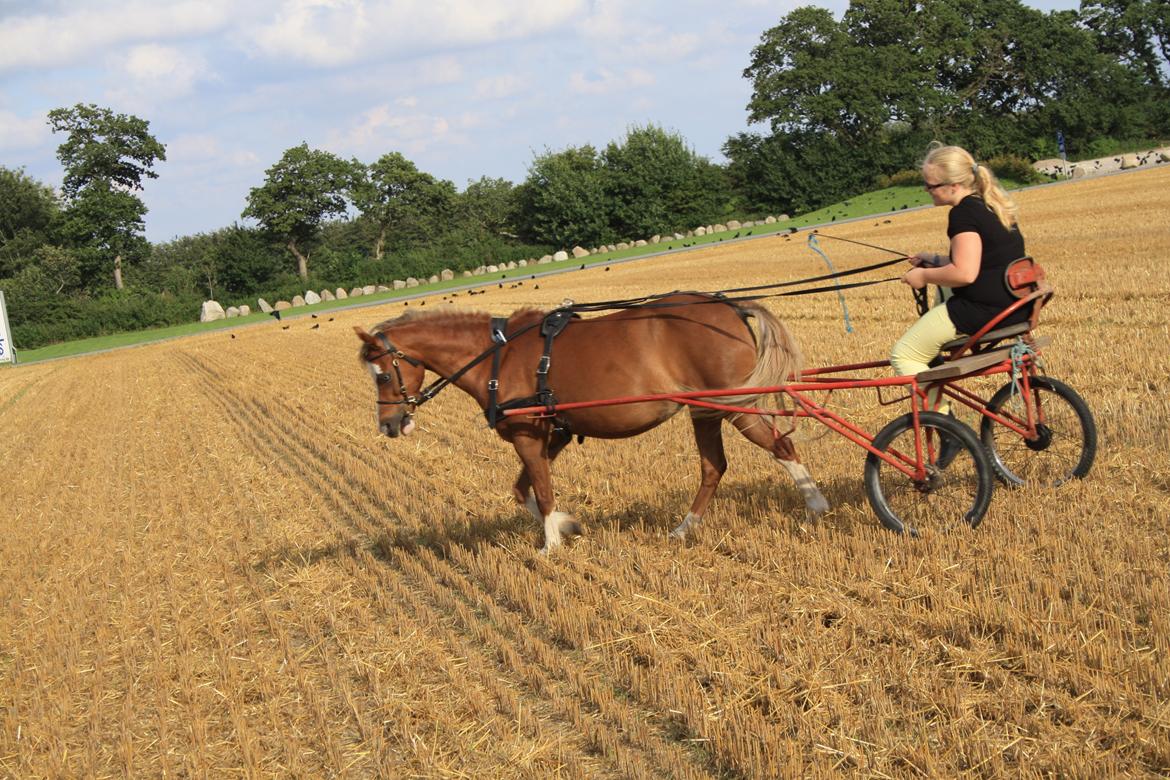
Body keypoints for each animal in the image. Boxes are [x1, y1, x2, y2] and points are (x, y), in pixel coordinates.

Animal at [351, 294, 828, 554]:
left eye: (382, 374)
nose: (389, 425)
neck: (497, 357)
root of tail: (730, 307)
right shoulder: (551, 434)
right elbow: (522, 490)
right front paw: (569, 525)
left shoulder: (527, 434)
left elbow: (541, 492)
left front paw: (550, 544)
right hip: (704, 410)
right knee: (713, 468)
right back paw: (684, 528)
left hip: (735, 405)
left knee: (783, 448)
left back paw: (816, 506)